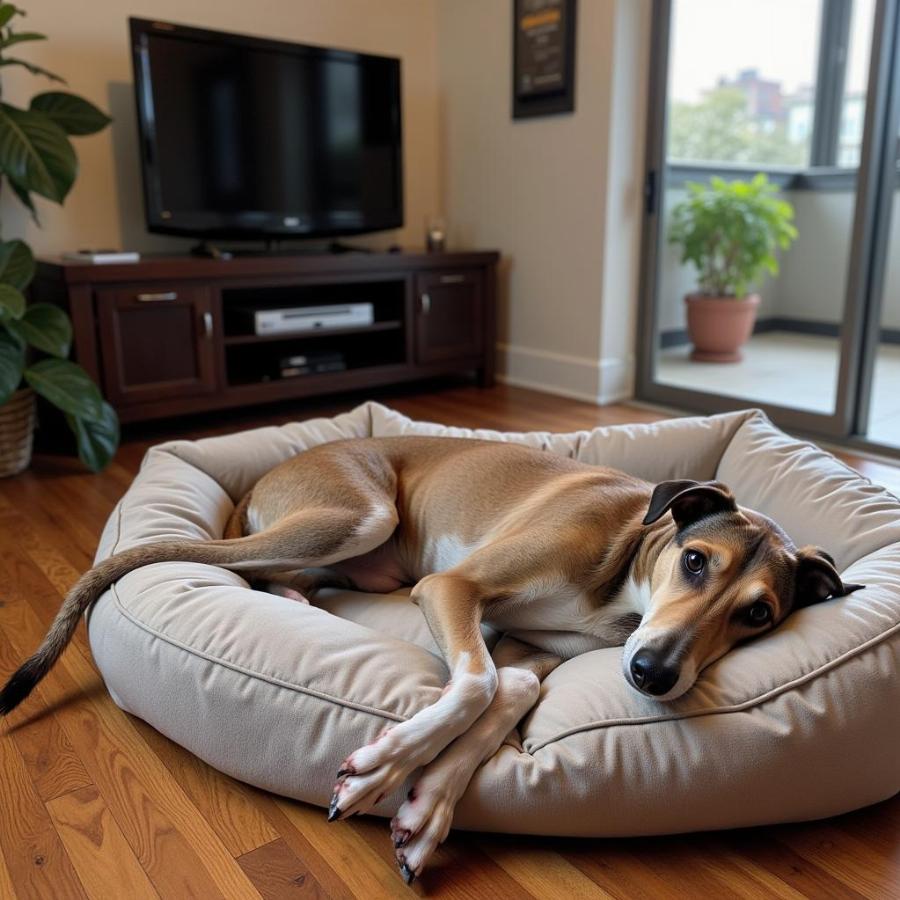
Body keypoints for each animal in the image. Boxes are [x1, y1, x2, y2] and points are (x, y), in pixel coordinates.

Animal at [0, 432, 860, 884]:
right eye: (695, 561)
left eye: (759, 615)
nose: (654, 675)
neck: (624, 576)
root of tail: (266, 476)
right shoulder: (456, 588)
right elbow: (475, 683)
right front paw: (382, 767)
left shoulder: (529, 648)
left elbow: (505, 690)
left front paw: (426, 808)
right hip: (359, 515)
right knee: (245, 568)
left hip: (362, 557)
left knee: (280, 581)